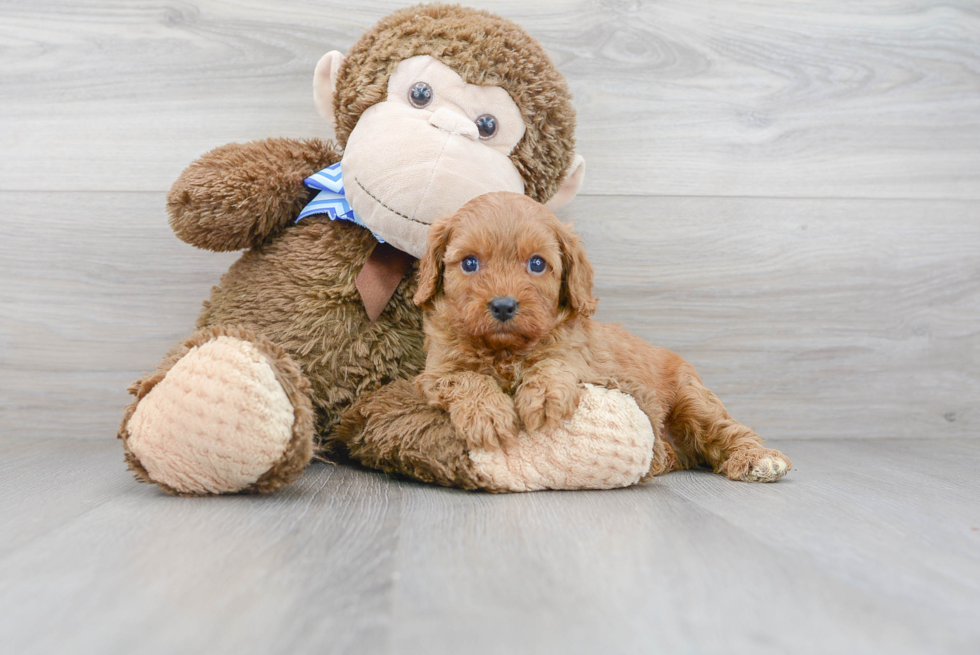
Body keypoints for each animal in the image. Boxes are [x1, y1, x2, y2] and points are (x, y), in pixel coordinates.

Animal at [412, 190, 788, 482]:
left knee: (726, 429)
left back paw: (758, 458)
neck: (505, 350)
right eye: (470, 263)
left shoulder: (582, 360)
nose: (503, 306)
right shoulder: (435, 372)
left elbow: (555, 363)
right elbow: (466, 378)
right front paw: (487, 414)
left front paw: (544, 397)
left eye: (537, 264)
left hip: (692, 398)